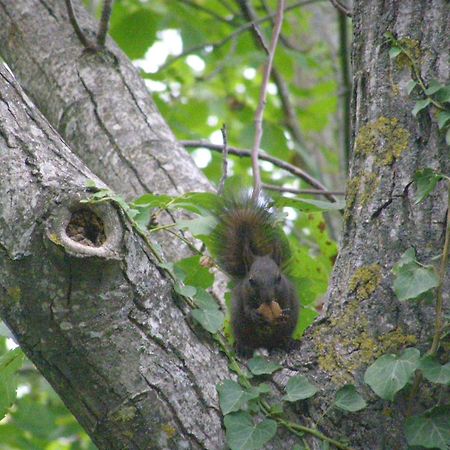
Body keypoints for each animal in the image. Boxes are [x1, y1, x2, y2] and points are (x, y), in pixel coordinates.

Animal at [214, 193, 300, 356]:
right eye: (251, 280)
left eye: (279, 278)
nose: (267, 298)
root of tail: (264, 344)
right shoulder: (244, 294)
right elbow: (247, 308)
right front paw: (254, 314)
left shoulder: (287, 292)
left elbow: (287, 304)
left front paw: (285, 313)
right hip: (241, 328)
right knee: (247, 341)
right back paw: (243, 348)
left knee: (281, 339)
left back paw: (288, 342)